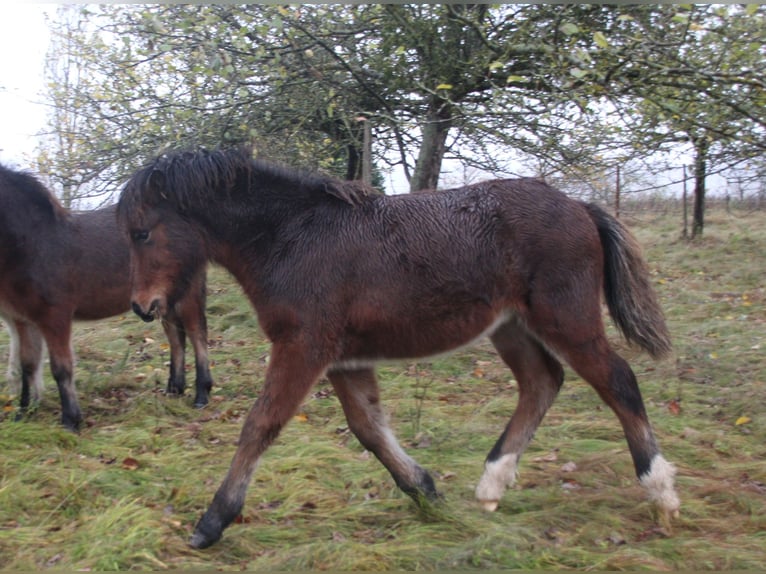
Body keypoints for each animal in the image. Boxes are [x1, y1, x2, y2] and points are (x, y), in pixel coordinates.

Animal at [0, 164, 214, 431]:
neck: (33, 244)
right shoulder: (23, 320)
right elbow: (27, 365)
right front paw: (24, 413)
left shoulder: (54, 317)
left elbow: (61, 368)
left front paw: (70, 420)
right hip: (163, 299)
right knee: (176, 338)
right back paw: (174, 389)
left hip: (186, 294)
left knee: (197, 334)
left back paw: (201, 395)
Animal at [117, 147, 680, 549]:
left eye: (142, 232)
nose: (143, 306)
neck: (290, 238)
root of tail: (579, 206)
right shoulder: (344, 357)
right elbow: (368, 427)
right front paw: (424, 489)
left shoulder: (304, 346)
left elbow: (261, 425)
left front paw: (212, 522)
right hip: (511, 326)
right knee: (542, 382)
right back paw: (492, 484)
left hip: (566, 318)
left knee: (618, 381)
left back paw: (661, 491)